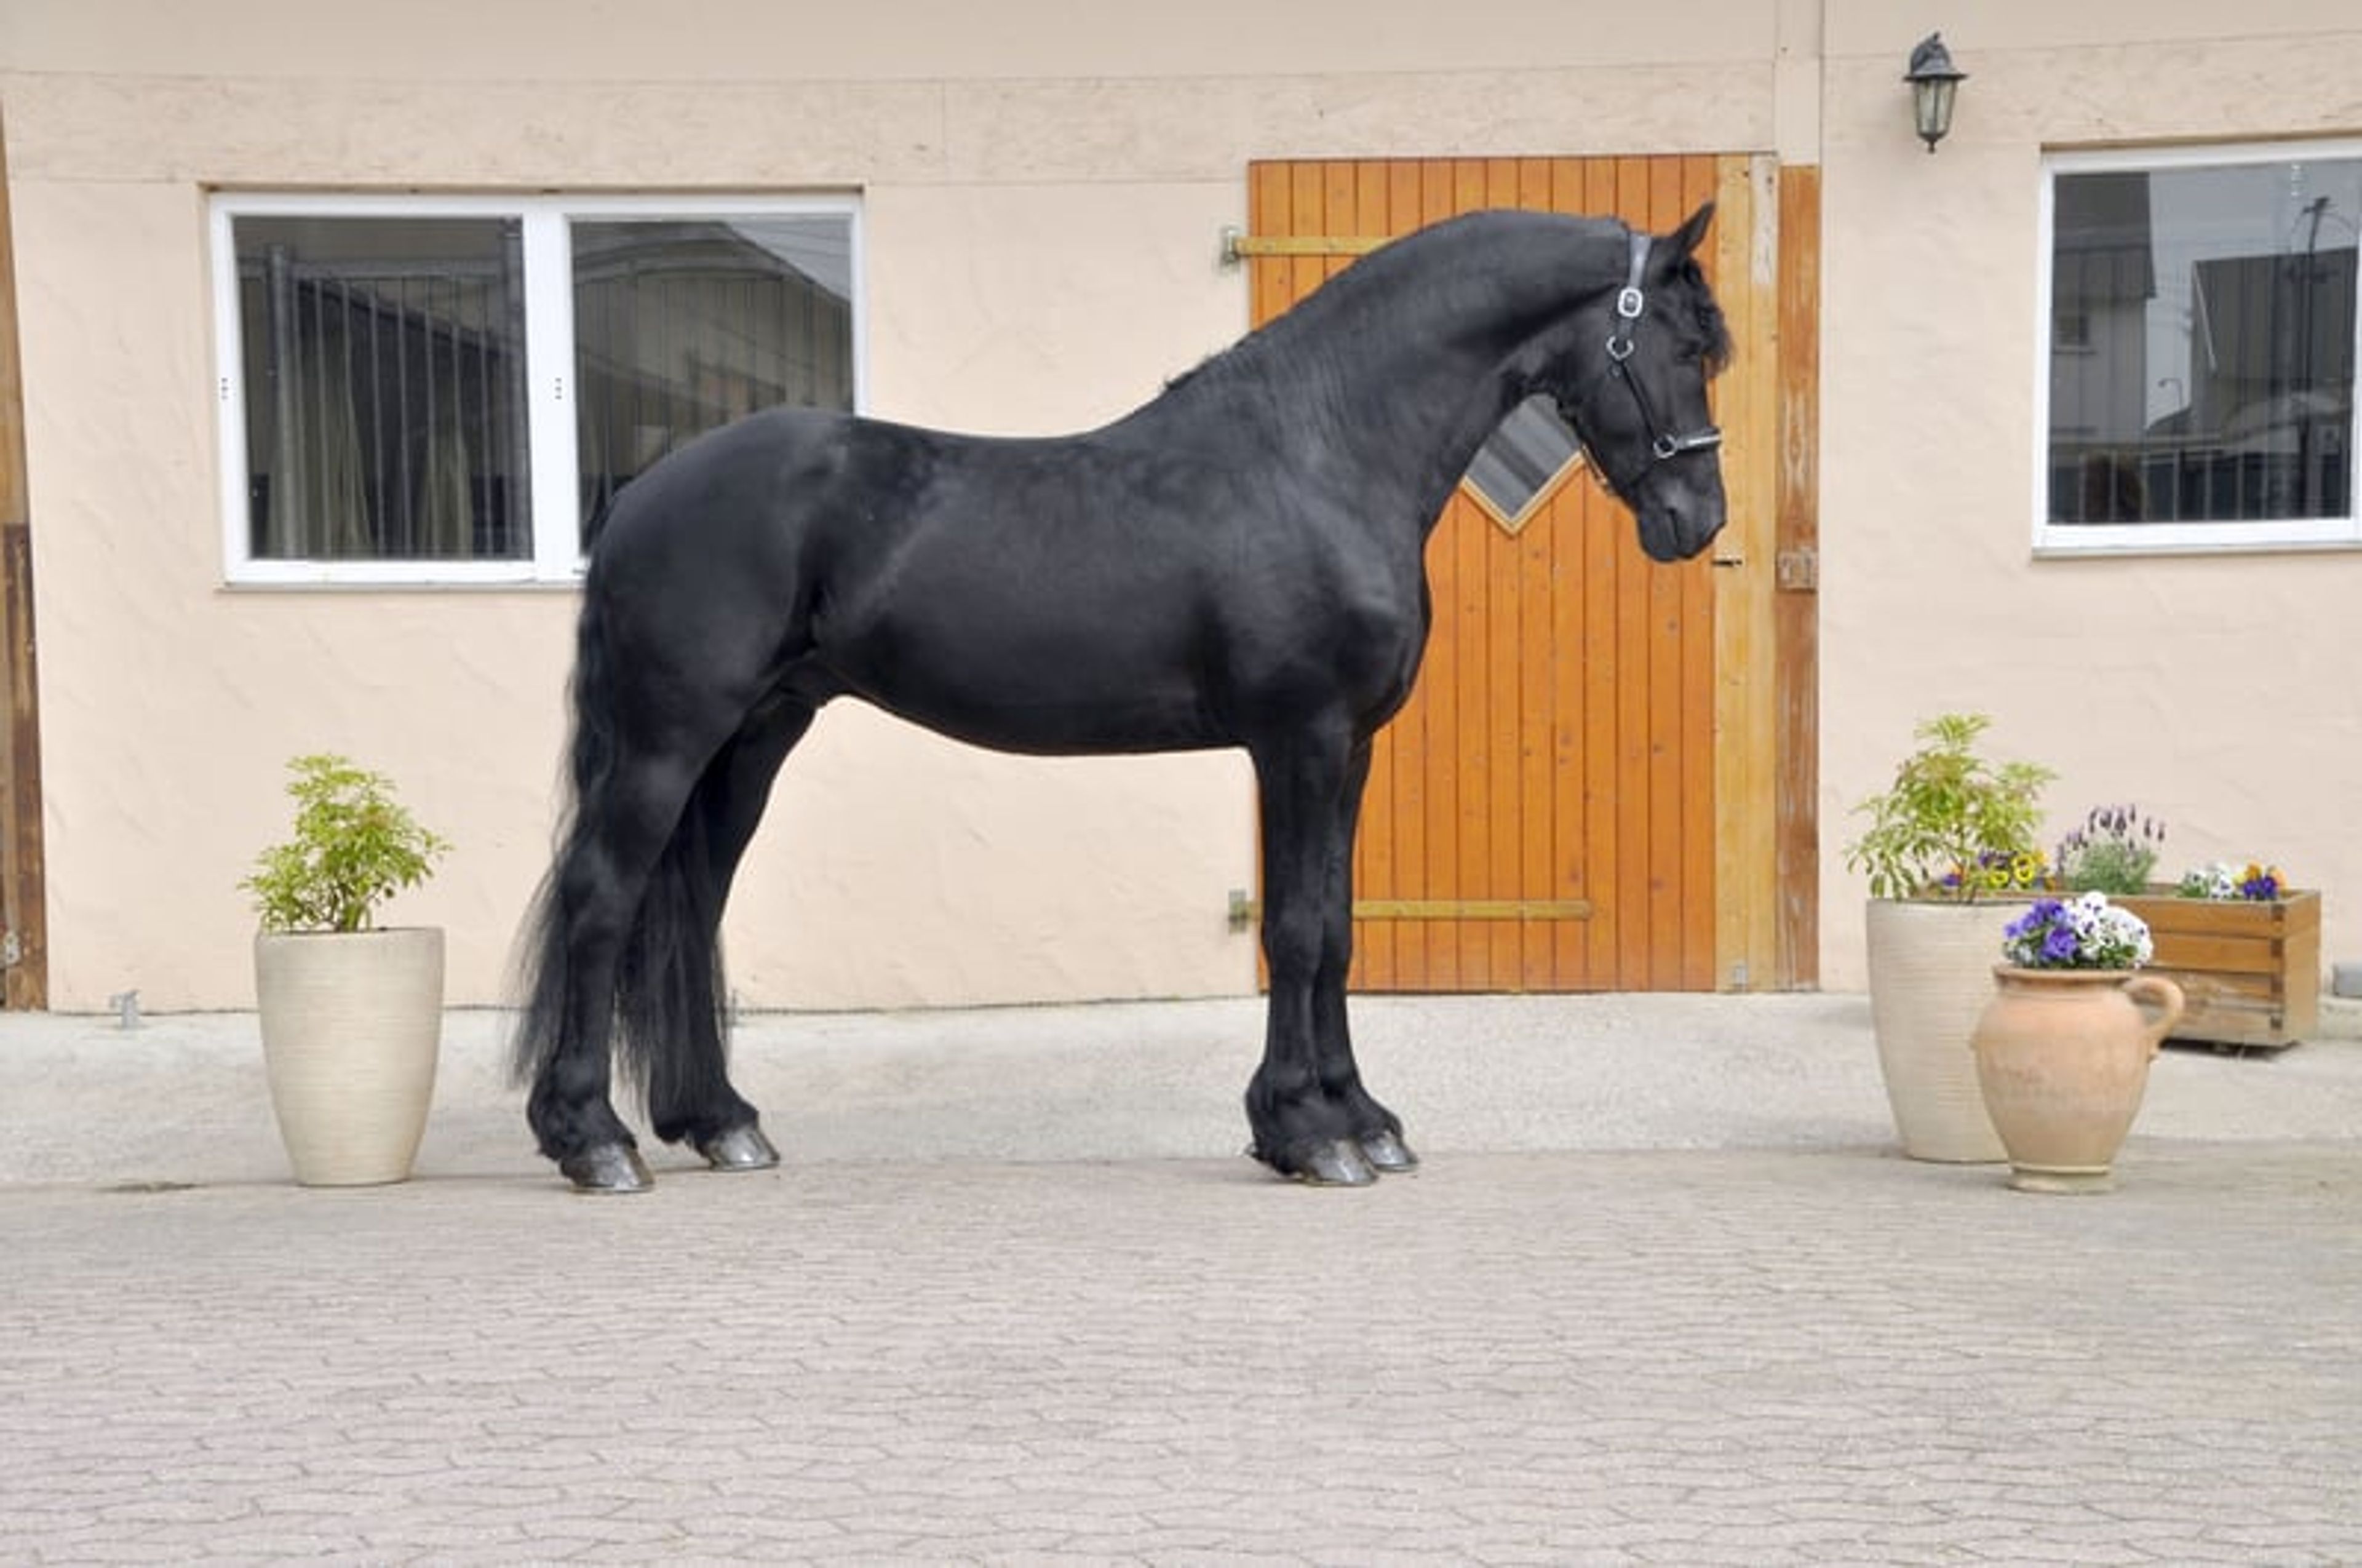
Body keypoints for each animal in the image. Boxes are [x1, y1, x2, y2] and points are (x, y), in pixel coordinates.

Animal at [512, 203, 1732, 1192]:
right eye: (1682, 346)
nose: (1699, 521)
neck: (1322, 454)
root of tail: (641, 495)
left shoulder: (1350, 748)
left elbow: (1338, 926)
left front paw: (1362, 1118)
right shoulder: (1298, 739)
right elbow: (1295, 930)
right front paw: (1305, 1131)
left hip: (757, 735)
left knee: (692, 903)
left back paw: (719, 1122)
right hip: (673, 738)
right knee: (604, 896)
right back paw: (593, 1139)